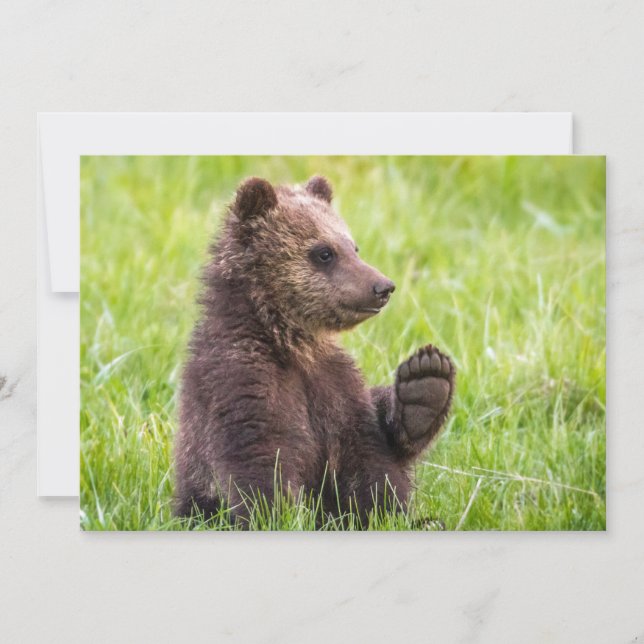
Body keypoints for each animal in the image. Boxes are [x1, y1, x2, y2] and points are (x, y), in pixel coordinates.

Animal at [174, 175, 455, 527]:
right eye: (324, 252)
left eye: (353, 246)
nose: (383, 286)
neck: (291, 343)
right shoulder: (241, 379)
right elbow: (261, 457)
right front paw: (276, 515)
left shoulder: (336, 385)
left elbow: (370, 458)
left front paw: (426, 383)